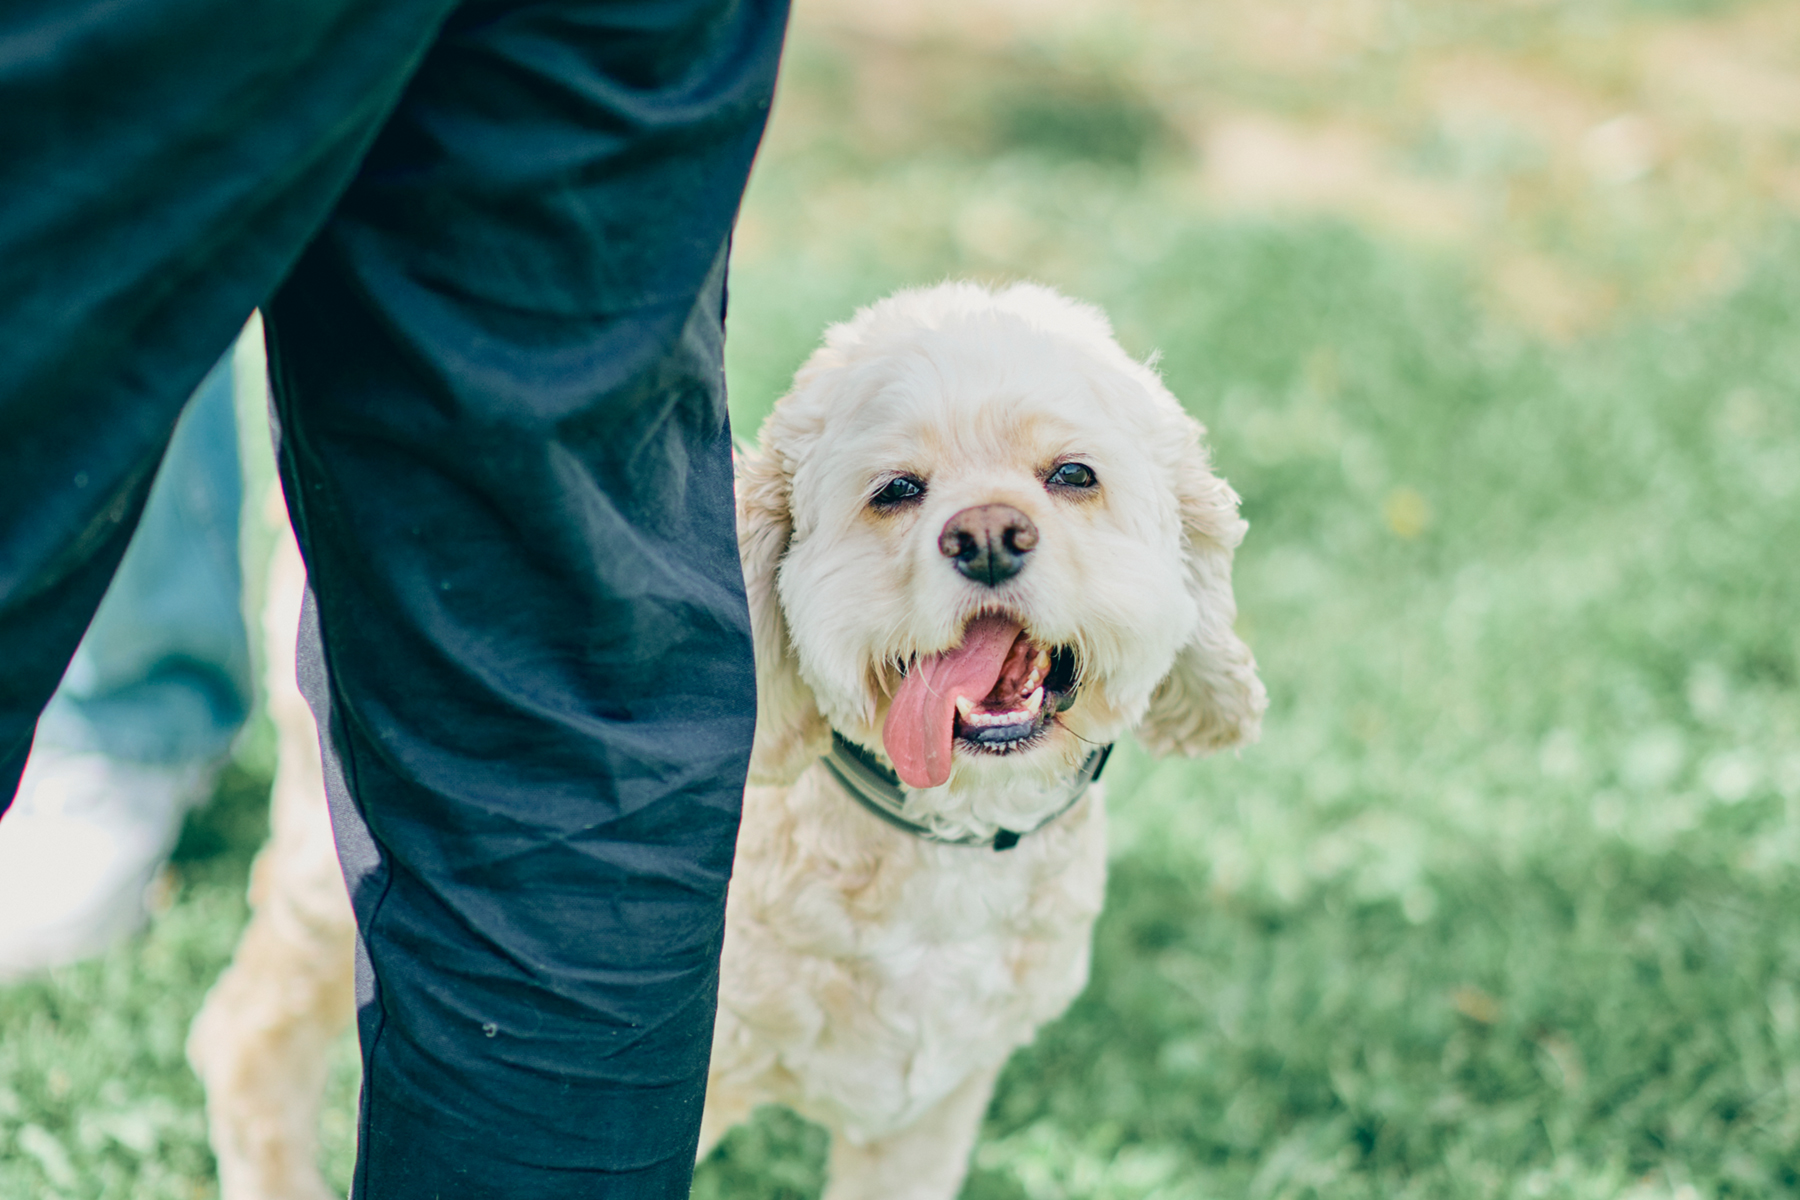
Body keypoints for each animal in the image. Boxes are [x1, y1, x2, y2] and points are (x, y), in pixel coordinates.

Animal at [186, 284, 1267, 1200]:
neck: (932, 838)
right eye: (897, 490)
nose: (990, 535)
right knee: (242, 1036)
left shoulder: (927, 1114)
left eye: (1074, 475)